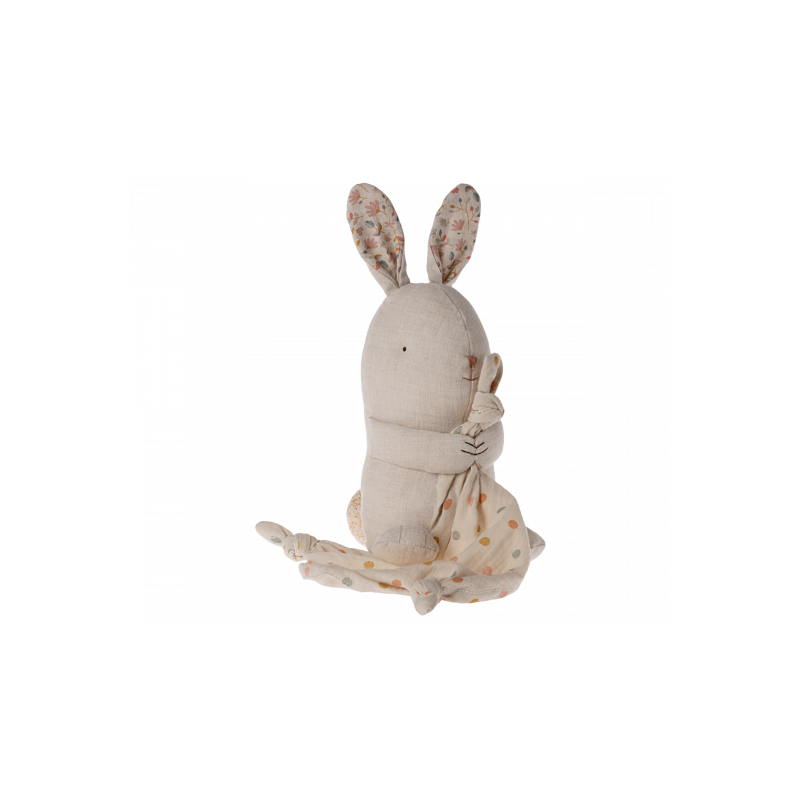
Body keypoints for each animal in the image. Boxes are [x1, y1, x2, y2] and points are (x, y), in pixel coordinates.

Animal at [348, 181, 506, 567]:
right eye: (405, 349)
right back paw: (406, 544)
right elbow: (411, 444)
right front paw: (459, 448)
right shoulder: (386, 427)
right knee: (398, 543)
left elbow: (497, 438)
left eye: (479, 335)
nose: (471, 360)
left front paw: (481, 443)